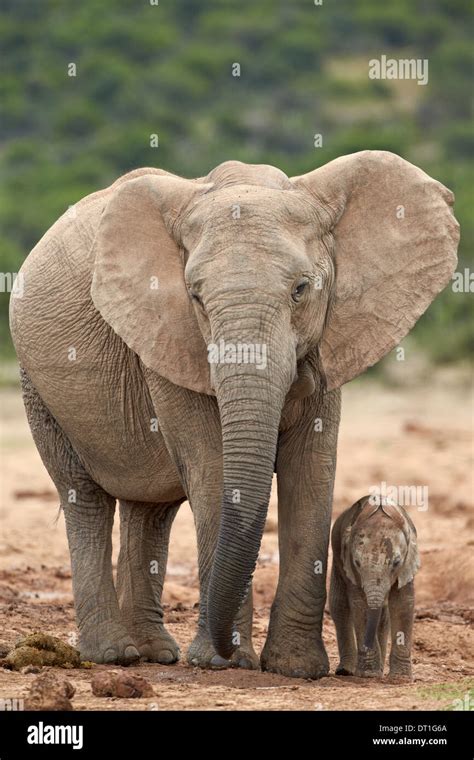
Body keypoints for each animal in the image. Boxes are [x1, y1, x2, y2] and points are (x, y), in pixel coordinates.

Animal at [330, 496, 418, 680]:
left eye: (396, 562)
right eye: (357, 562)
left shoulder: (407, 565)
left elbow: (403, 603)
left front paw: (400, 678)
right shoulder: (350, 566)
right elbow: (359, 605)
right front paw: (369, 674)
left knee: (384, 615)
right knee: (339, 605)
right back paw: (346, 671)